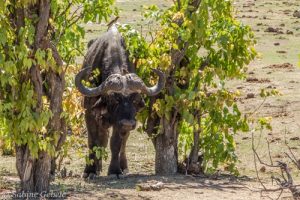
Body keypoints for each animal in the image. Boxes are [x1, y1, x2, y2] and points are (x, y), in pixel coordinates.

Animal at [74, 25, 164, 178]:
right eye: (114, 99)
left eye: (136, 100)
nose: (128, 123)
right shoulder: (90, 114)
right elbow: (93, 142)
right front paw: (90, 170)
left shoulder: (119, 123)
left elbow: (116, 144)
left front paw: (115, 170)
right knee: (102, 139)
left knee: (122, 143)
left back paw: (123, 167)